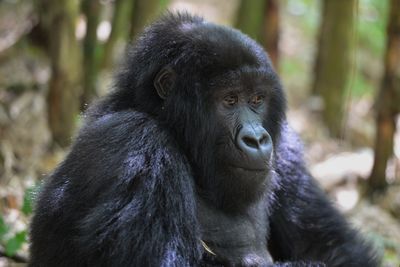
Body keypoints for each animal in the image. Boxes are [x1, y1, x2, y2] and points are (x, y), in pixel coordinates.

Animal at [29, 13, 380, 267]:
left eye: (257, 99)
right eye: (229, 100)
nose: (256, 139)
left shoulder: (286, 148)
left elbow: (333, 248)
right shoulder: (136, 144)